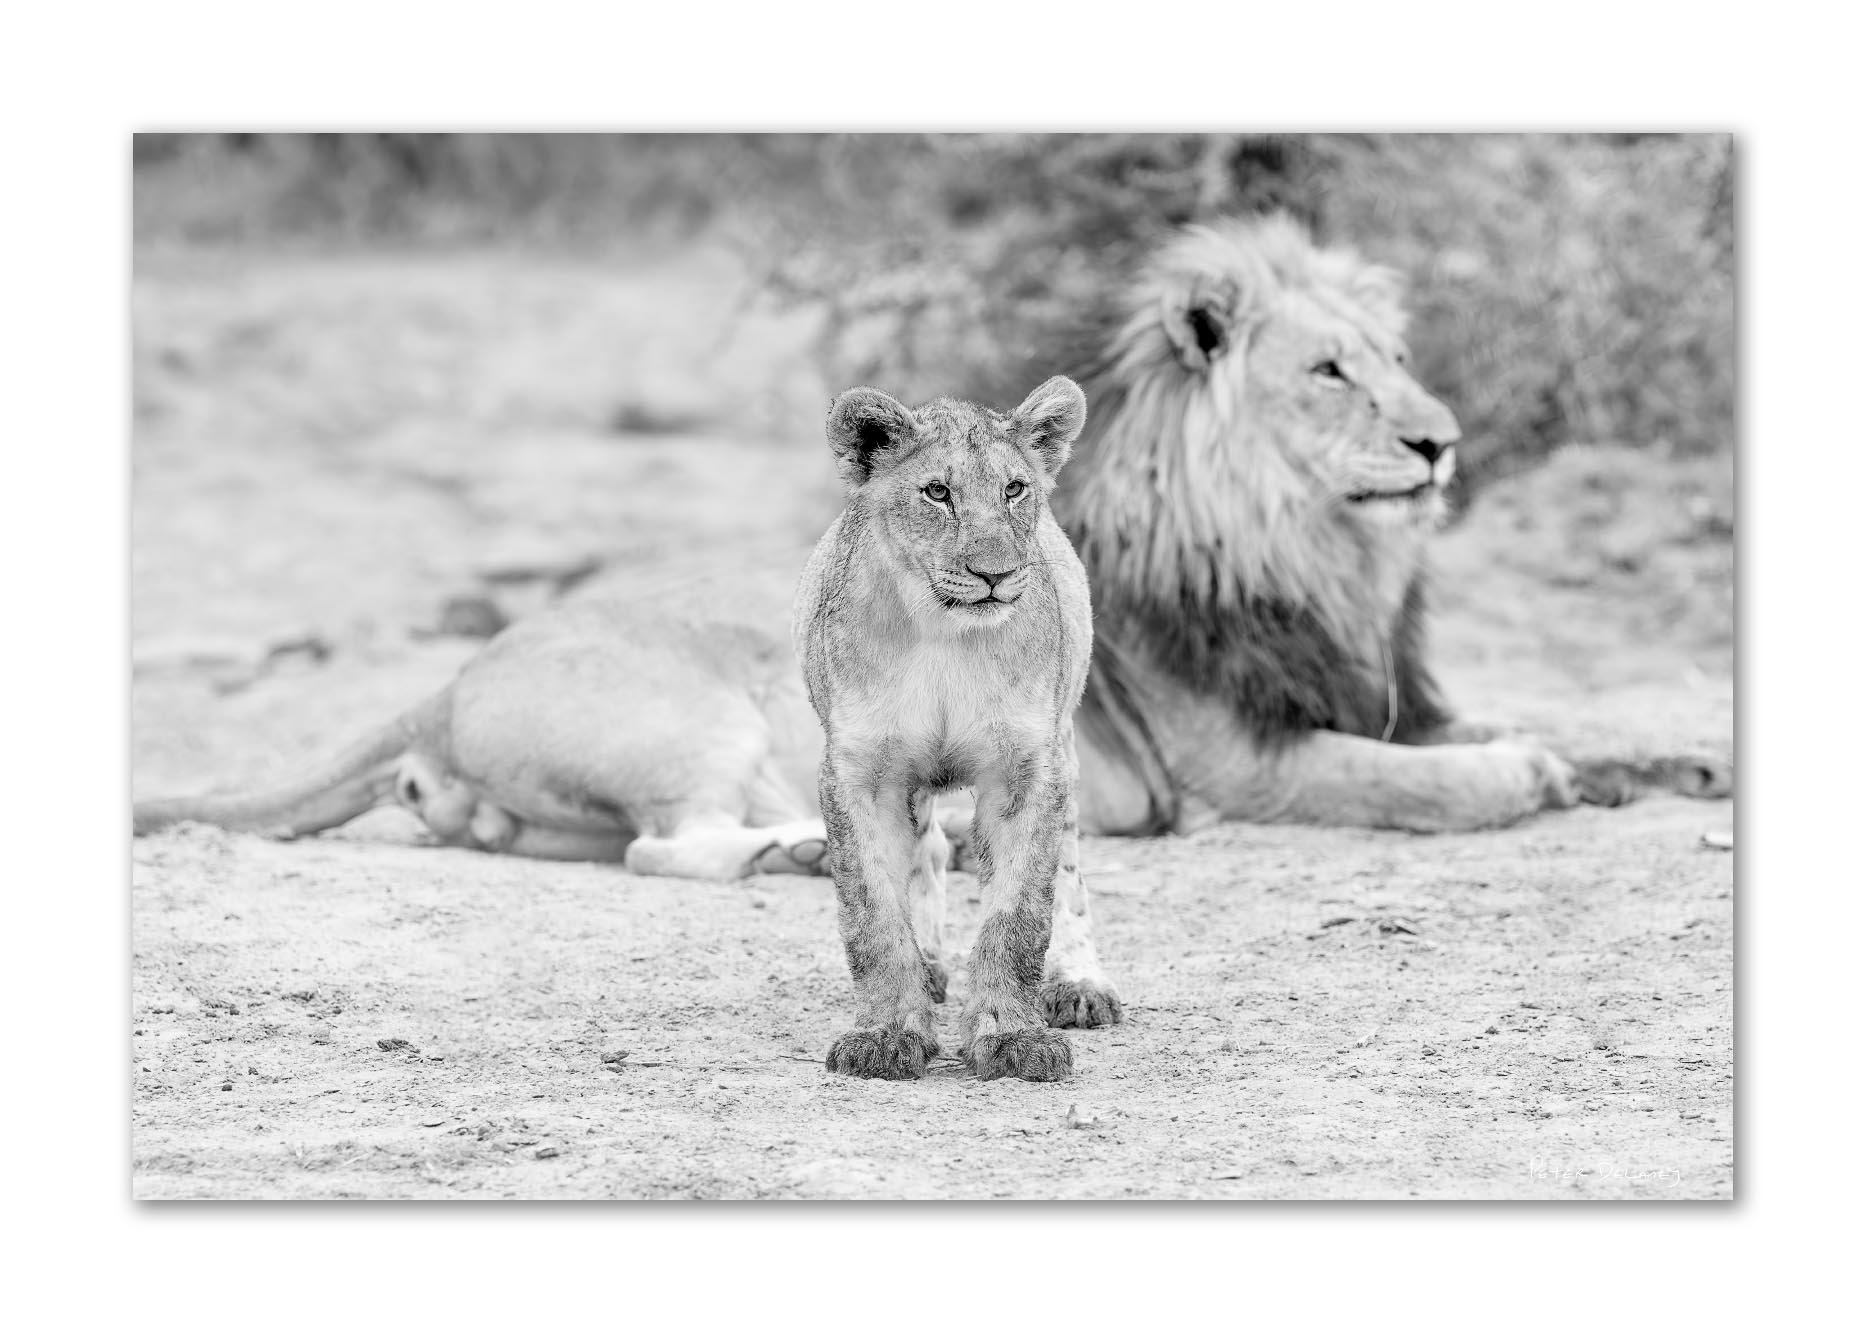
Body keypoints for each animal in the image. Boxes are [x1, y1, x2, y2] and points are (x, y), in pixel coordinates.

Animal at [133, 214, 1728, 891]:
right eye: (1330, 373)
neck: (1322, 556)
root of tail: (448, 676)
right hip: (705, 717)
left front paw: (1680, 763)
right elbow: (1432, 781)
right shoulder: (1238, 762)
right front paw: (1534, 779)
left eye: (1395, 359)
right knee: (665, 842)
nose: (1443, 442)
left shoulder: (1379, 686)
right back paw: (807, 852)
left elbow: (1561, 726)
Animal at [797, 378, 1096, 1081]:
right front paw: (887, 1035)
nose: (996, 574)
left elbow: (1019, 914)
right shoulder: (857, 772)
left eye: (1014, 489)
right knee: (926, 854)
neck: (942, 634)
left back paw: (1080, 984)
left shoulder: (1028, 769)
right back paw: (931, 967)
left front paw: (1013, 1038)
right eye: (937, 492)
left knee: (1070, 868)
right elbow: (873, 913)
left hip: (1066, 743)